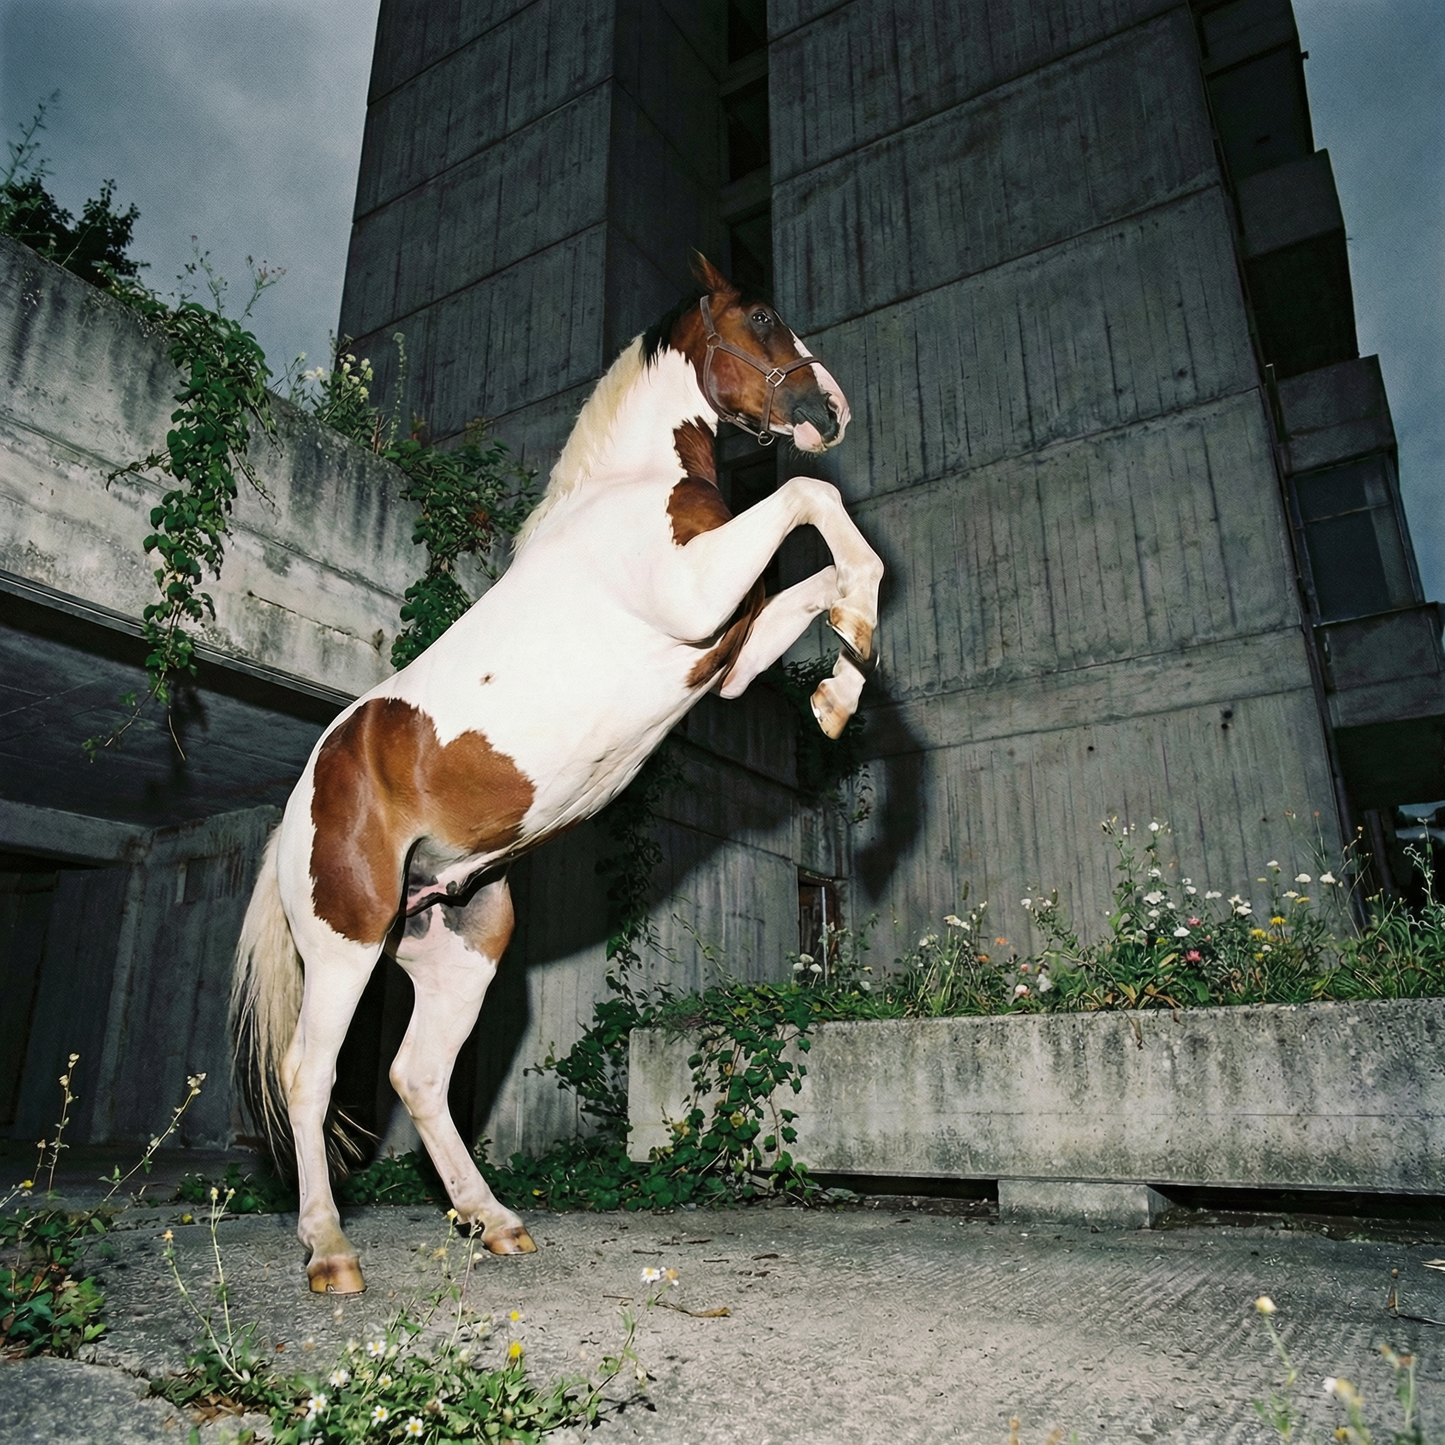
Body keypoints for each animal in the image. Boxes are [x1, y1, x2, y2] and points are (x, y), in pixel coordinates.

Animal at [231, 253, 883, 1294]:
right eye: (761, 315)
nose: (832, 408)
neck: (628, 486)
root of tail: (300, 806)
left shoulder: (727, 653)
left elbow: (821, 580)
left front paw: (837, 689)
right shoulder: (700, 598)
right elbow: (812, 503)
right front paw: (849, 654)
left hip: (459, 945)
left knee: (418, 1075)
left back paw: (494, 1220)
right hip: (345, 943)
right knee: (310, 1073)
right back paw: (330, 1250)